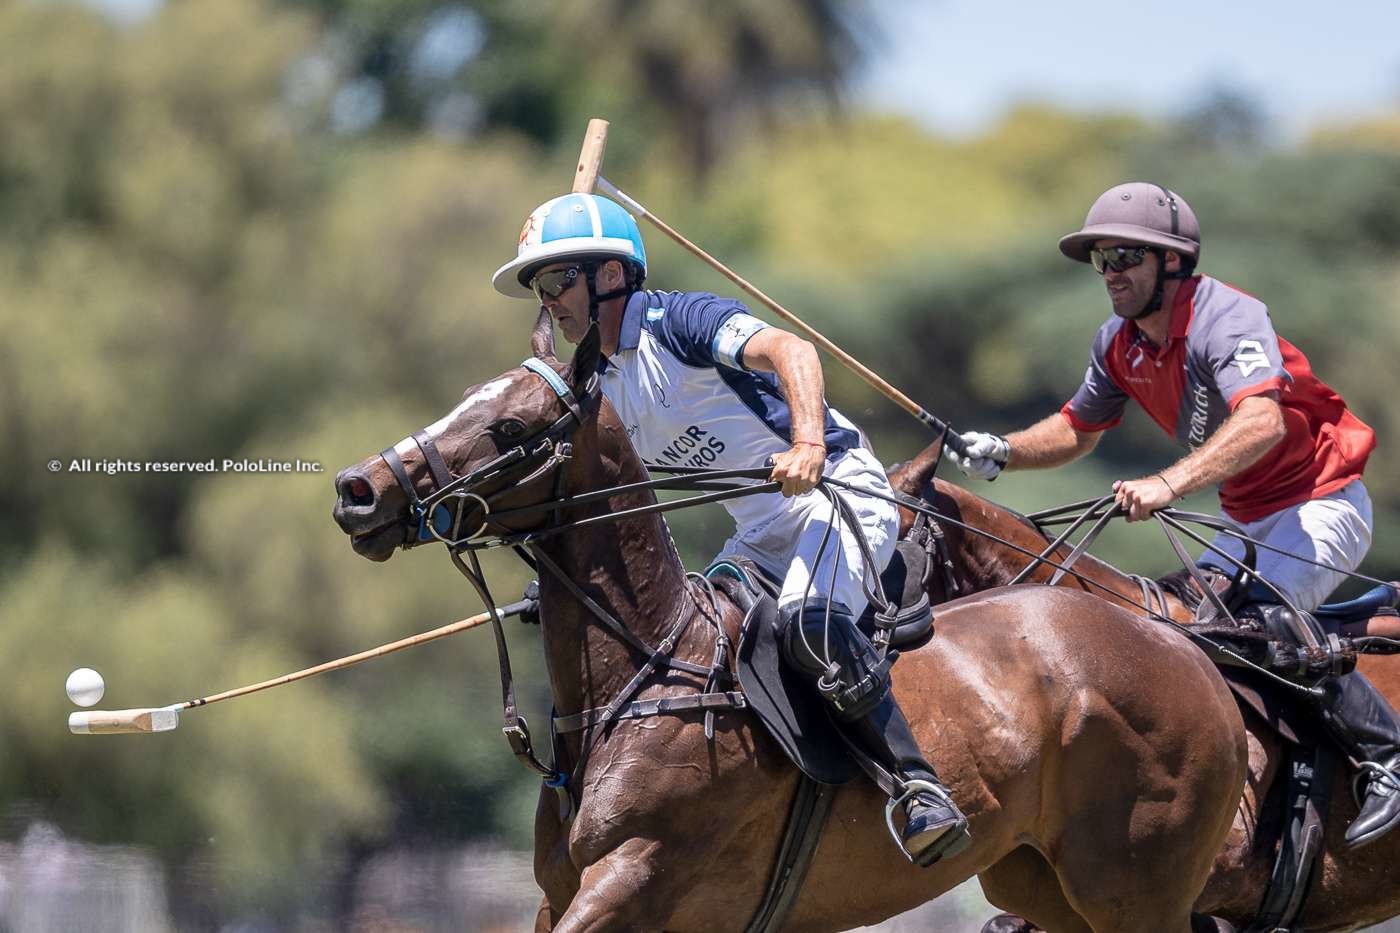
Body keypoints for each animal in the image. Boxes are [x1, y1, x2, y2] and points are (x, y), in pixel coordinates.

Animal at [330, 316, 1248, 924]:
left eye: (510, 425)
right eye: (465, 400)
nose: (356, 489)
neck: (644, 671)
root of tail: (1188, 647)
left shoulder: (636, 879)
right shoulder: (562, 894)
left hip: (1138, 883)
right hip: (1043, 882)